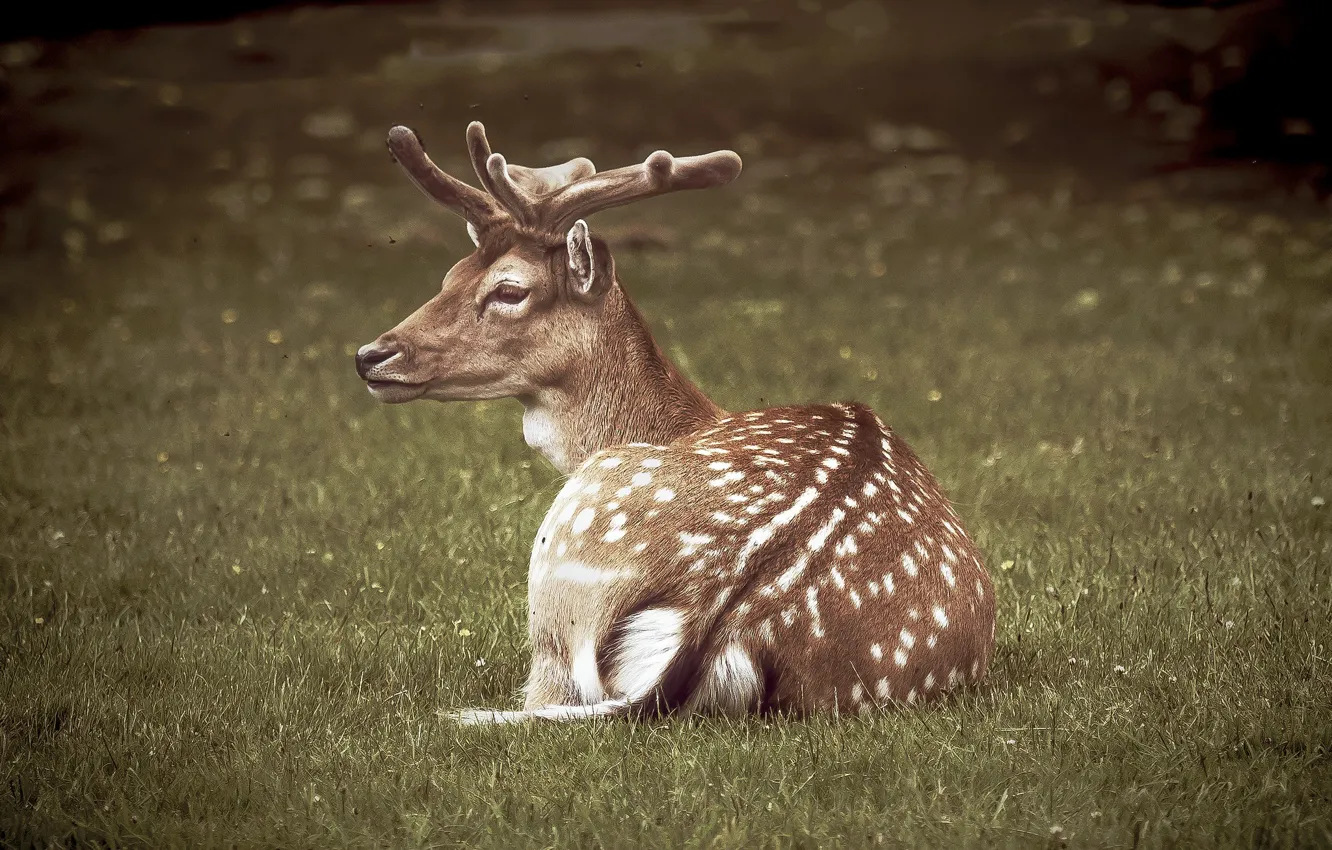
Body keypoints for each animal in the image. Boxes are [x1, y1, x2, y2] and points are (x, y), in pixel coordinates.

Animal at [355, 121, 996, 724]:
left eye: (509, 290)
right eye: (449, 275)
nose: (370, 355)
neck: (682, 419)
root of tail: (719, 617)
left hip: (563, 566)